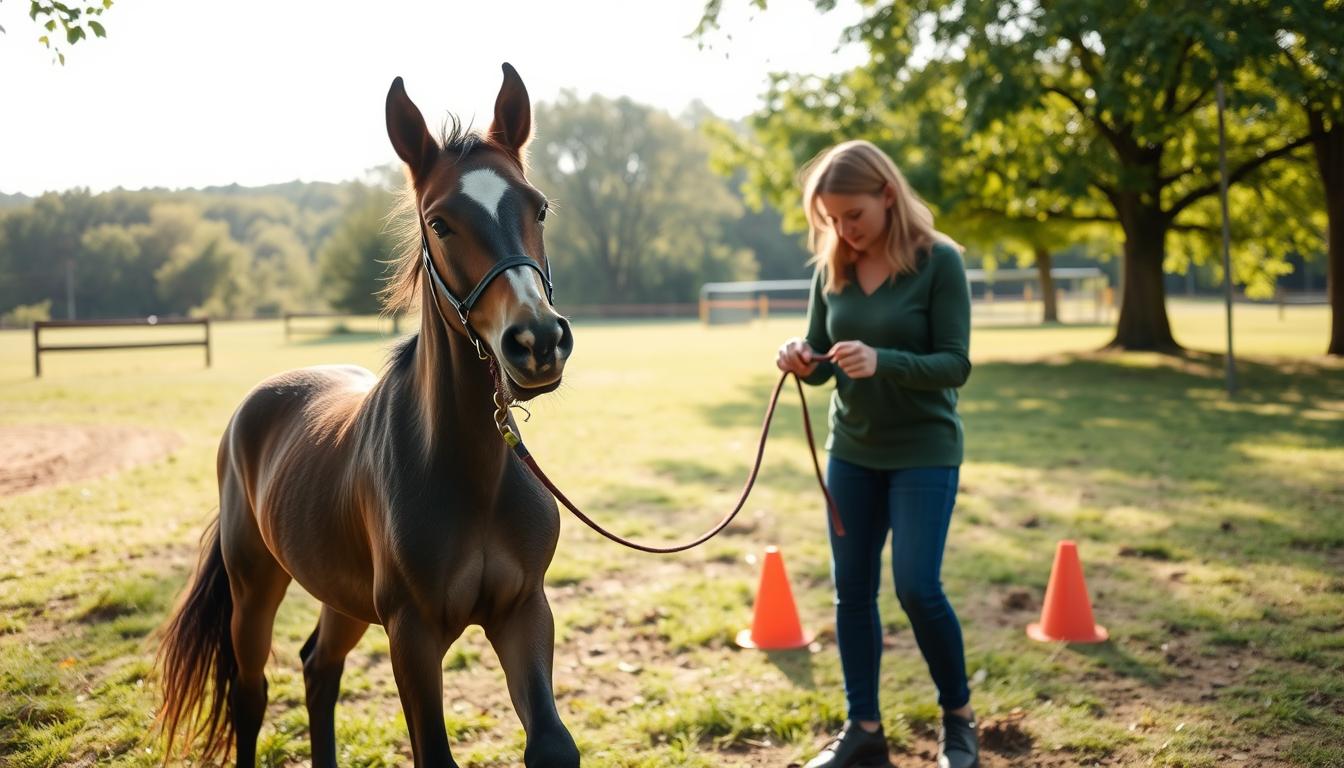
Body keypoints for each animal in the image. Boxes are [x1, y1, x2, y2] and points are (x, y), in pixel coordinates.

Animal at [157, 63, 577, 763]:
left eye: (538, 206)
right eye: (440, 223)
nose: (538, 342)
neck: (470, 473)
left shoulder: (524, 611)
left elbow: (552, 744)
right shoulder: (411, 635)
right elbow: (433, 752)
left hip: (343, 596)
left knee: (318, 668)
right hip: (254, 588)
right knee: (251, 692)